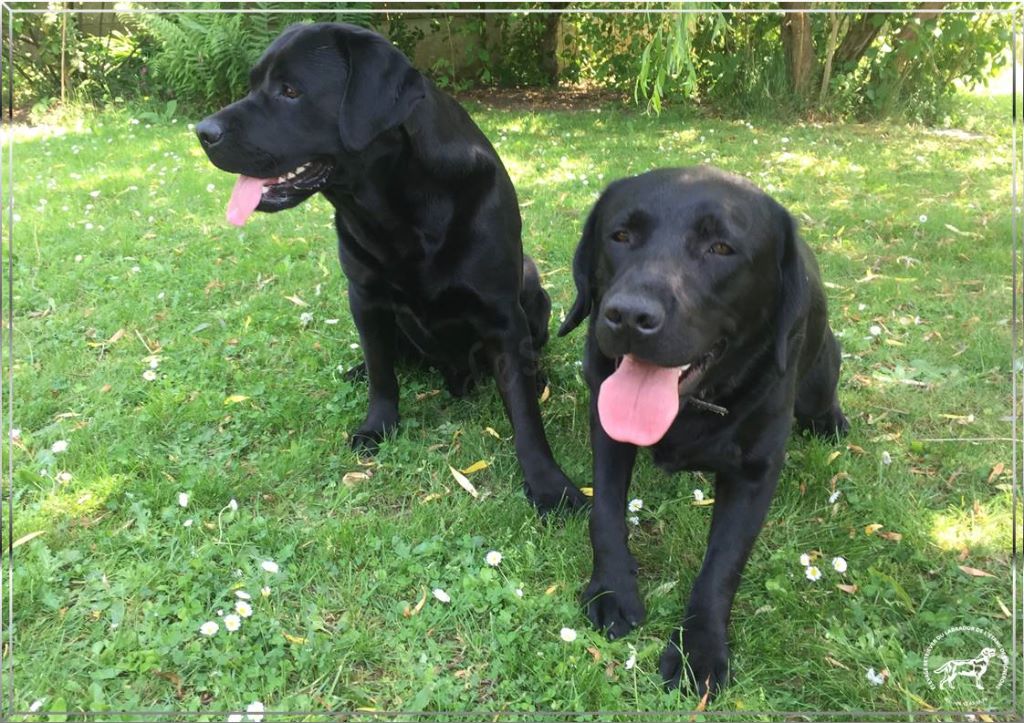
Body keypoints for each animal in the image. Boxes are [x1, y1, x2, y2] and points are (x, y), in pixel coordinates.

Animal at [195, 23, 589, 512]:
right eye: (252, 85)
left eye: (290, 91)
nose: (202, 131)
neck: (401, 210)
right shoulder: (364, 298)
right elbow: (382, 373)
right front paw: (377, 426)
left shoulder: (501, 315)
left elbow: (525, 414)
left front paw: (550, 484)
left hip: (533, 287)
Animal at [561, 165, 847, 696]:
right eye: (620, 236)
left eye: (721, 248)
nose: (628, 316)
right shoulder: (606, 429)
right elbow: (604, 515)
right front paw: (612, 589)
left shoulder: (754, 473)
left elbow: (722, 565)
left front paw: (700, 647)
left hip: (820, 376)